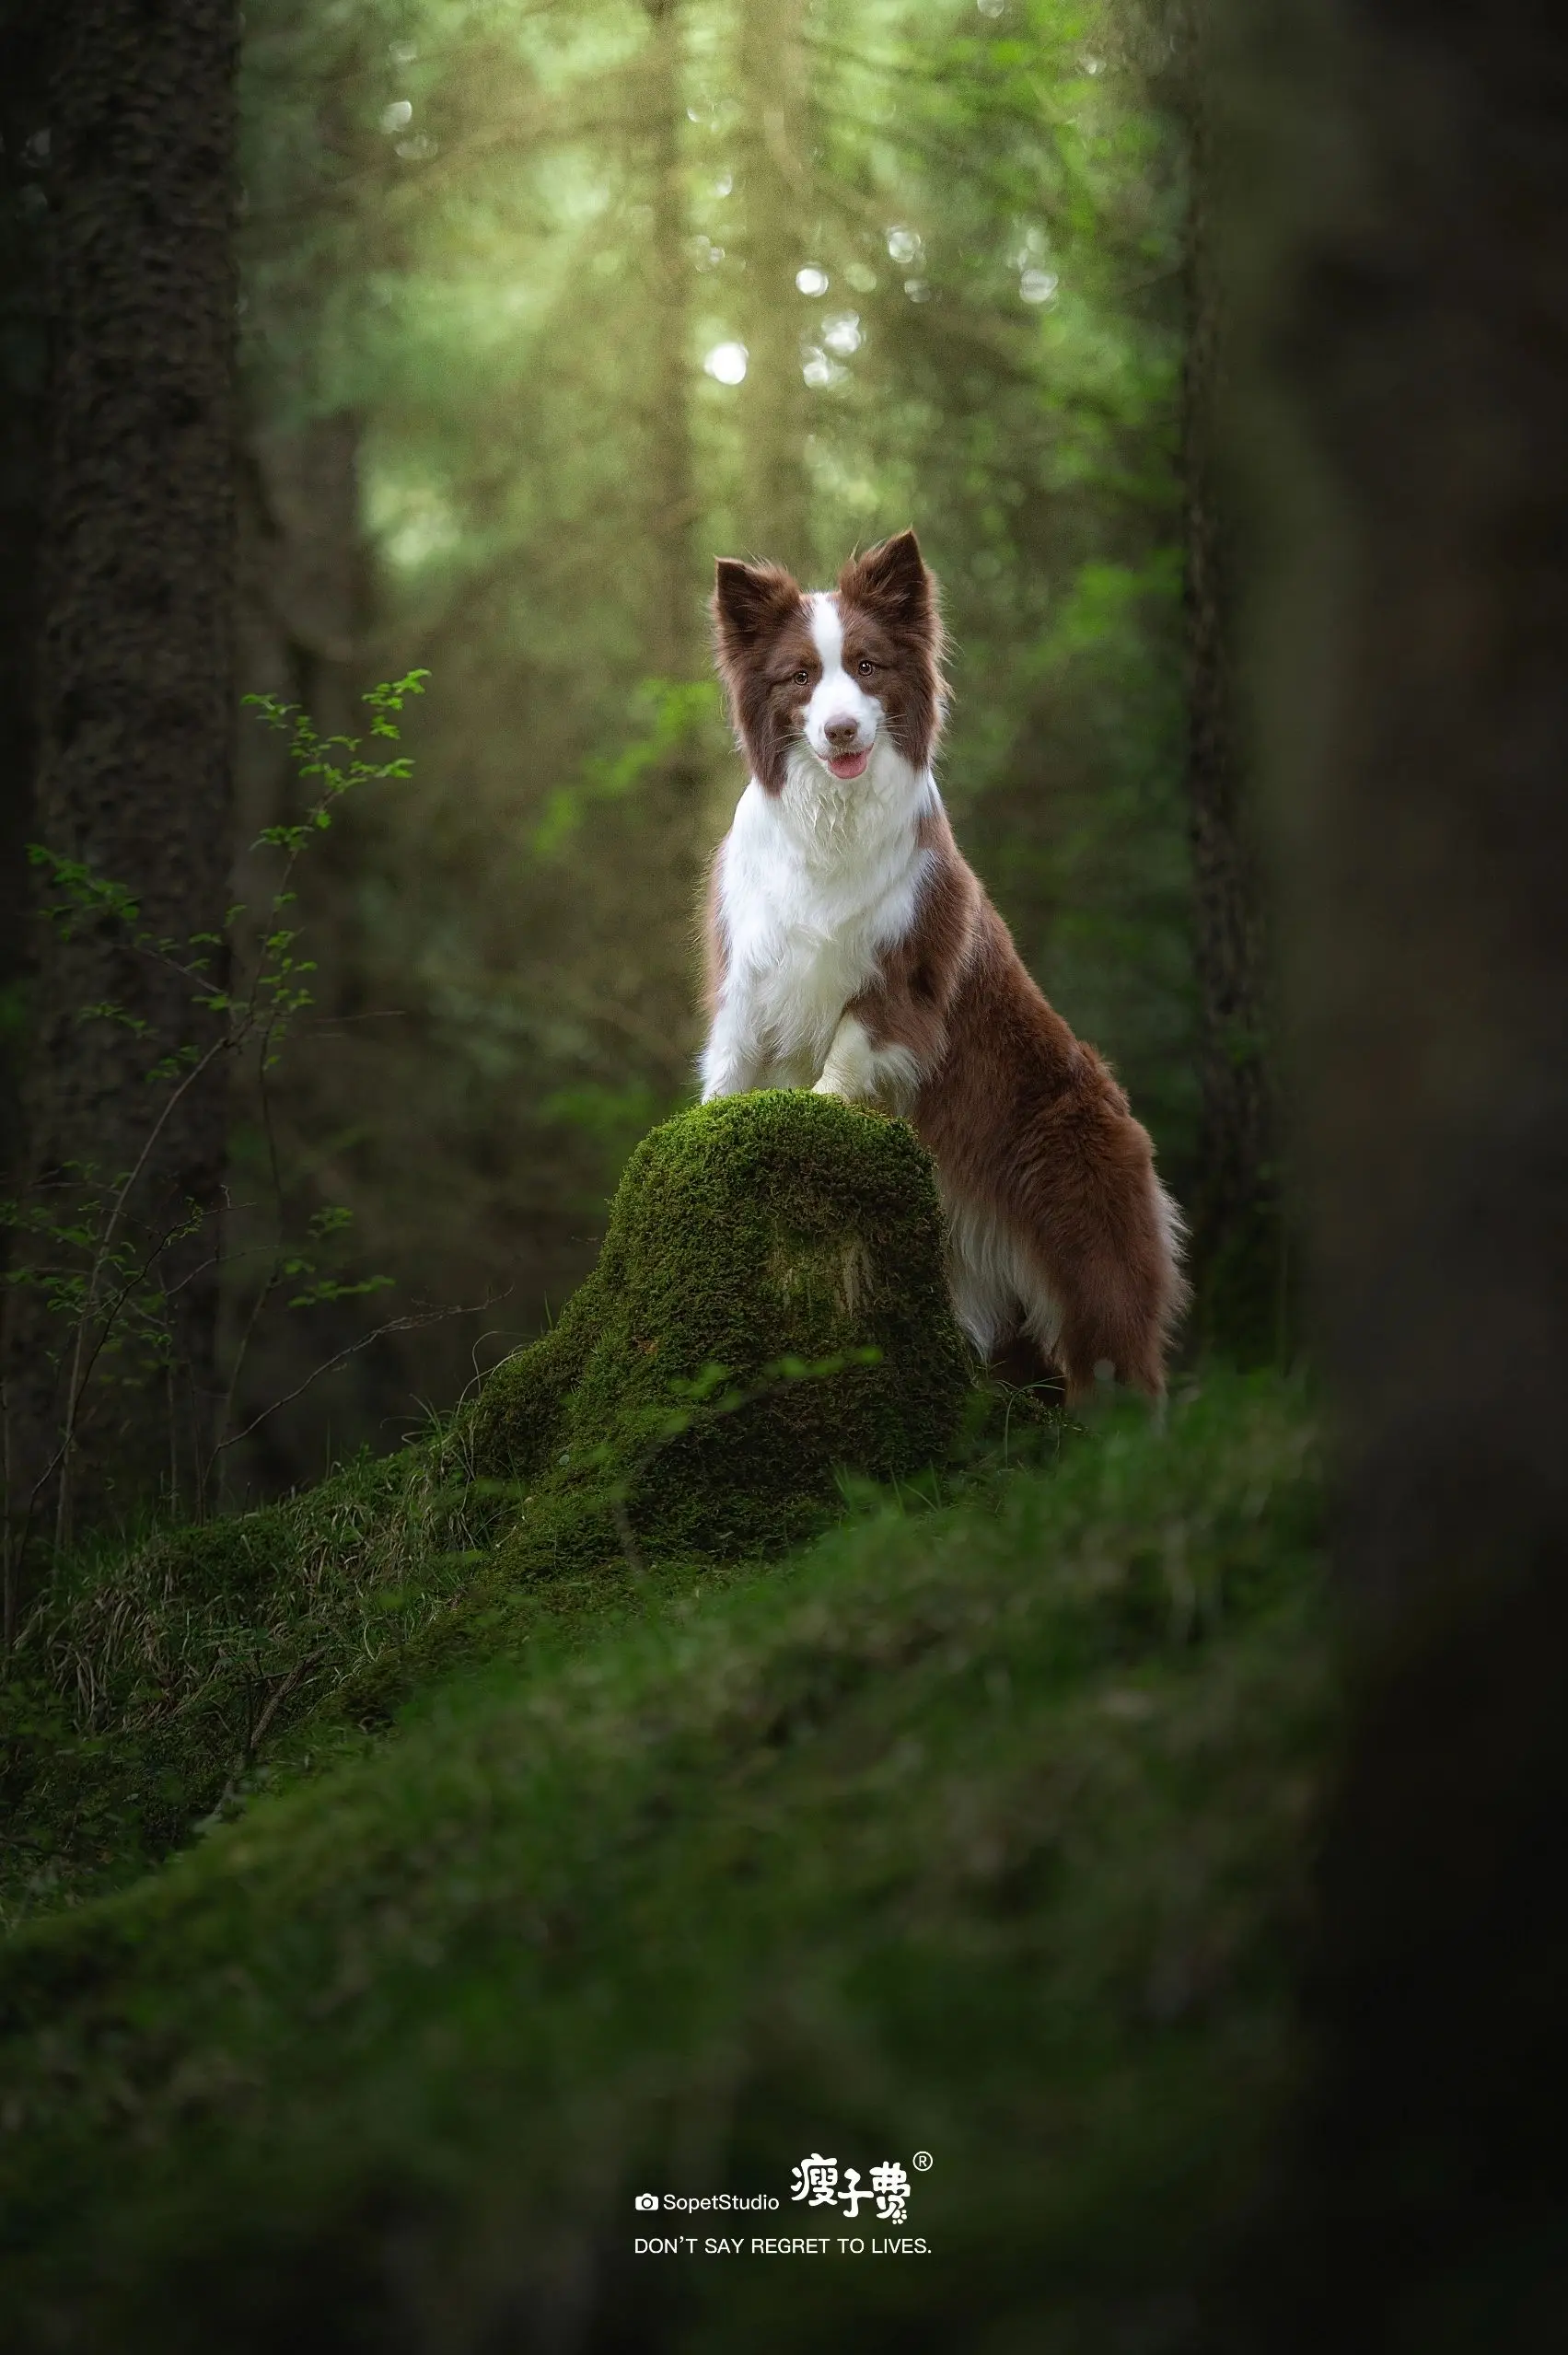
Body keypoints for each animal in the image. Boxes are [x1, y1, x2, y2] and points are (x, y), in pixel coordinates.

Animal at [691, 529, 1177, 1394]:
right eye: (800, 677)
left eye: (867, 666)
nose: (841, 731)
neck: (831, 821)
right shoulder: (749, 973)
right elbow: (731, 1067)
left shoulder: (901, 980)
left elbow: (846, 1056)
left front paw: (819, 1111)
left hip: (1088, 1242)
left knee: (1122, 1367)